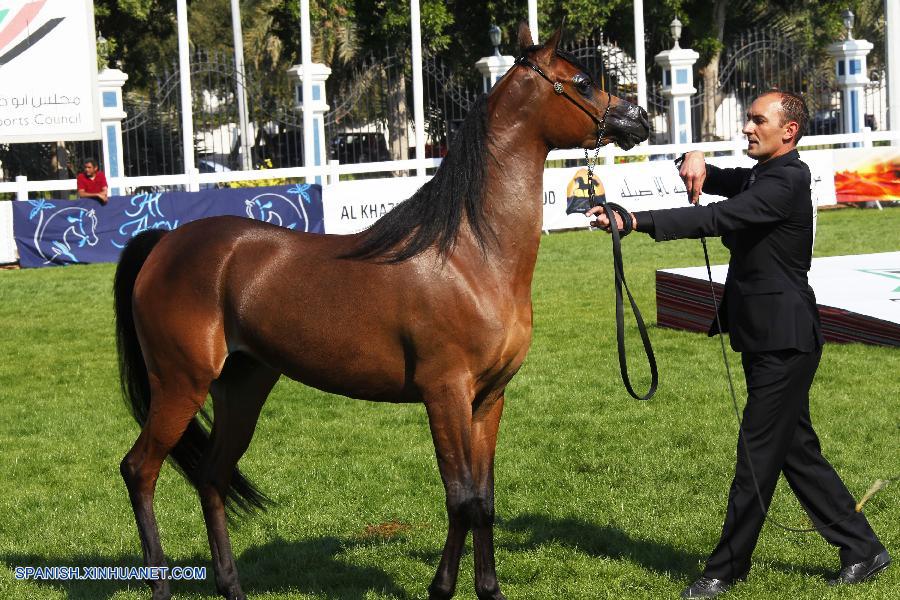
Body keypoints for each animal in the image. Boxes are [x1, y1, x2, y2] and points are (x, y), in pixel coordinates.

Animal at [114, 24, 648, 600]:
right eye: (582, 82)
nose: (638, 119)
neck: (471, 253)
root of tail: (166, 241)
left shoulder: (488, 400)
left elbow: (484, 501)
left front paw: (488, 589)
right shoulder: (445, 395)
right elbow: (461, 497)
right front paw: (441, 589)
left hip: (242, 386)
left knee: (211, 475)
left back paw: (232, 587)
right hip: (179, 384)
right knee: (140, 470)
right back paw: (160, 584)